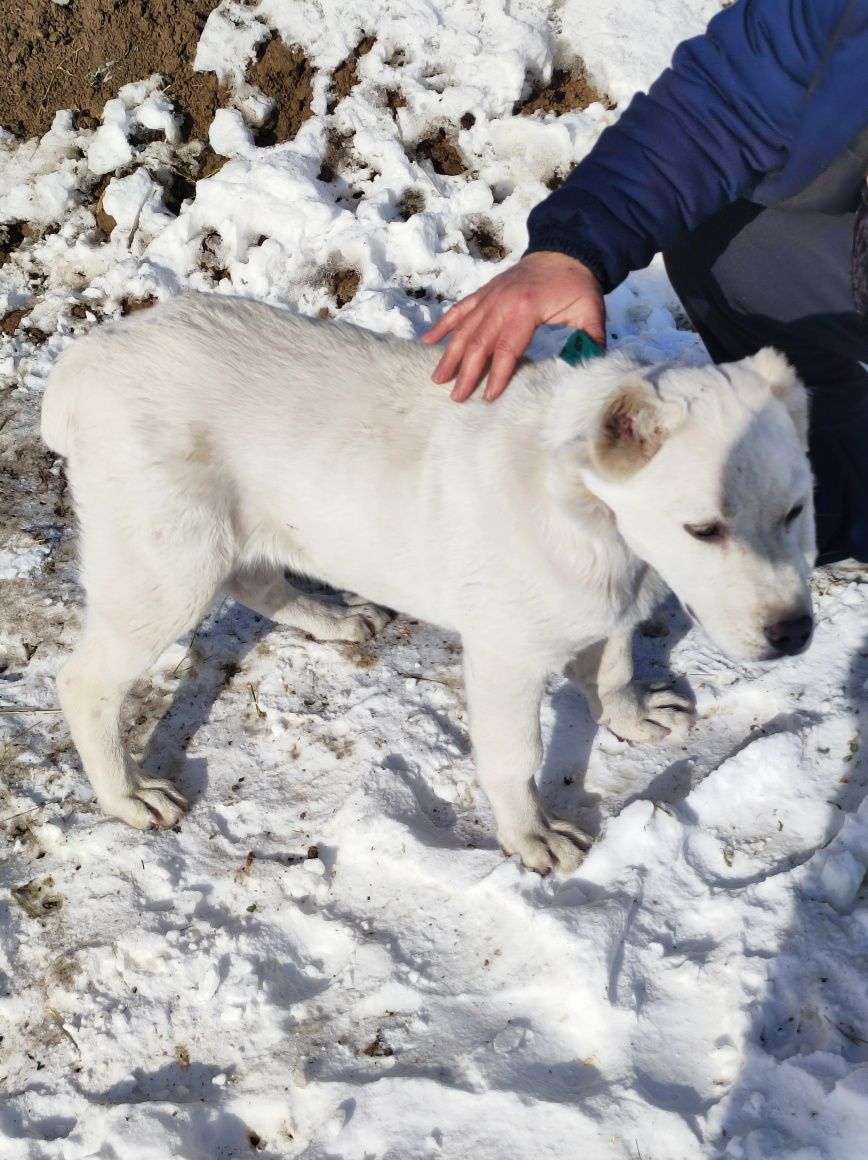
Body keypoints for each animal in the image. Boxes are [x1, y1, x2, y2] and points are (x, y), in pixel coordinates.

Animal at [40, 294, 812, 872]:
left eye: (796, 511)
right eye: (704, 529)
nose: (795, 634)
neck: (593, 520)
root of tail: (85, 358)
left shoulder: (615, 598)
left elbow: (615, 659)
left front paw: (627, 713)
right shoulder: (505, 654)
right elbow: (515, 756)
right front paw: (530, 836)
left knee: (255, 577)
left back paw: (332, 618)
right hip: (167, 565)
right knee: (86, 682)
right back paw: (126, 795)